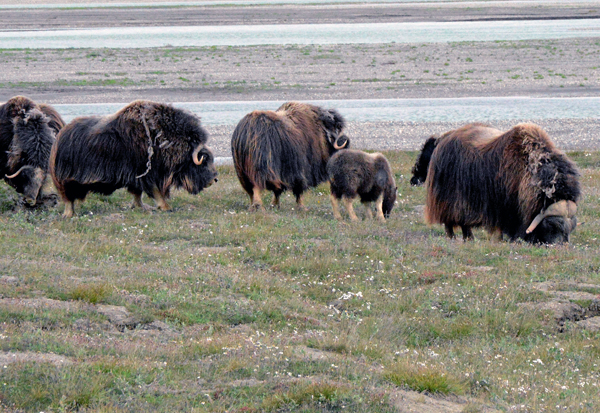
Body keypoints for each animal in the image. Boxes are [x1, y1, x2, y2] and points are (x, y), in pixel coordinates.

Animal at [49, 99, 218, 217]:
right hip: (67, 180)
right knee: (68, 198)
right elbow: (154, 190)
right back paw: (69, 214)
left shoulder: (137, 177)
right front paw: (165, 207)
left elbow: (137, 193)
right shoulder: (146, 174)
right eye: (204, 160)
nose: (214, 179)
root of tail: (59, 138)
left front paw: (141, 207)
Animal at [414, 124, 580, 243]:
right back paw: (455, 238)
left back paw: (469, 239)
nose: (558, 246)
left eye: (570, 227)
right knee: (452, 220)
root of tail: (442, 140)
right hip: (448, 200)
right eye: (551, 225)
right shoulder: (505, 206)